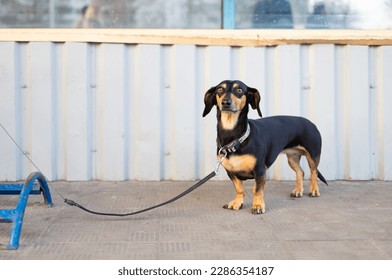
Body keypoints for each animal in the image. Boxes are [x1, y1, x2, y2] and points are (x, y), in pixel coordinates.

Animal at [202, 80, 328, 213]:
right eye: (220, 90)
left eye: (239, 90)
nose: (226, 102)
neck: (235, 137)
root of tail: (311, 123)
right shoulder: (231, 172)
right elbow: (239, 189)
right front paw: (237, 203)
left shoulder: (260, 170)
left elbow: (257, 190)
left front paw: (257, 205)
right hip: (292, 158)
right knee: (300, 172)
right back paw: (298, 191)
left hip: (313, 155)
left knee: (314, 172)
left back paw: (314, 190)